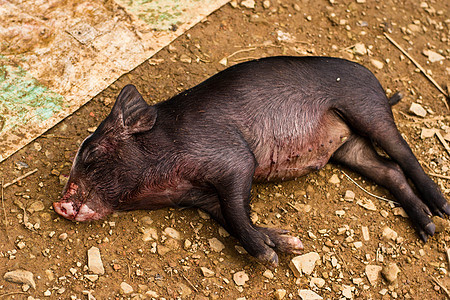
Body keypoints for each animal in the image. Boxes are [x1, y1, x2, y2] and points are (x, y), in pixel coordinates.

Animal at [54, 56, 448, 264]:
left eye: (91, 154)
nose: (59, 202)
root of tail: (377, 82)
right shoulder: (202, 197)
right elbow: (231, 217)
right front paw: (286, 243)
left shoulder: (233, 159)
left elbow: (236, 211)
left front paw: (269, 257)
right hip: (349, 148)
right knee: (389, 170)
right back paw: (428, 229)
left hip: (367, 108)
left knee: (404, 155)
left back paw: (441, 210)